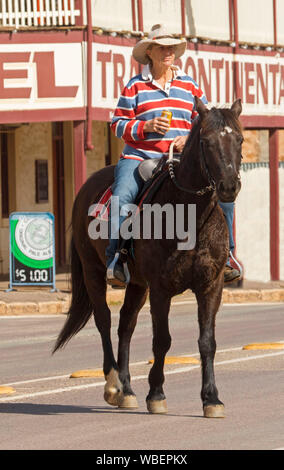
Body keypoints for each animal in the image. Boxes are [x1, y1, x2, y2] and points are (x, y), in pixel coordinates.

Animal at [53, 97, 244, 416]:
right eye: (206, 141)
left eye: (239, 139)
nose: (229, 186)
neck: (188, 216)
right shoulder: (160, 288)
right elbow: (162, 340)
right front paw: (156, 395)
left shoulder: (210, 286)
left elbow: (207, 341)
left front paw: (211, 398)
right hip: (94, 272)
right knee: (104, 320)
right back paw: (113, 385)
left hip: (136, 284)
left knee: (125, 325)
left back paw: (127, 390)